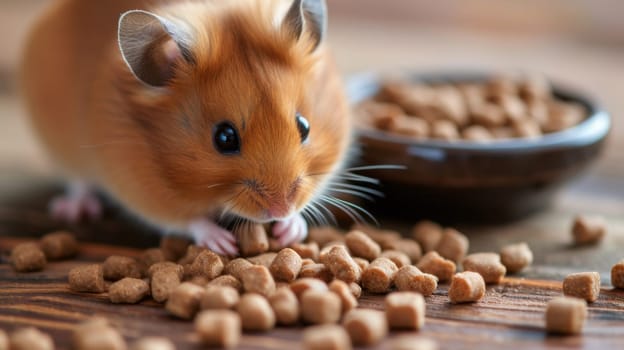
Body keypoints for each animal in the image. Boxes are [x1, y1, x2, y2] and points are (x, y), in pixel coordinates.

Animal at [20, 0, 352, 258]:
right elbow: (189, 220)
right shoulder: (143, 190)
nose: (280, 209)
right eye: (224, 138)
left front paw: (290, 230)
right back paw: (73, 209)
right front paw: (225, 244)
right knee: (77, 181)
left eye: (305, 127)